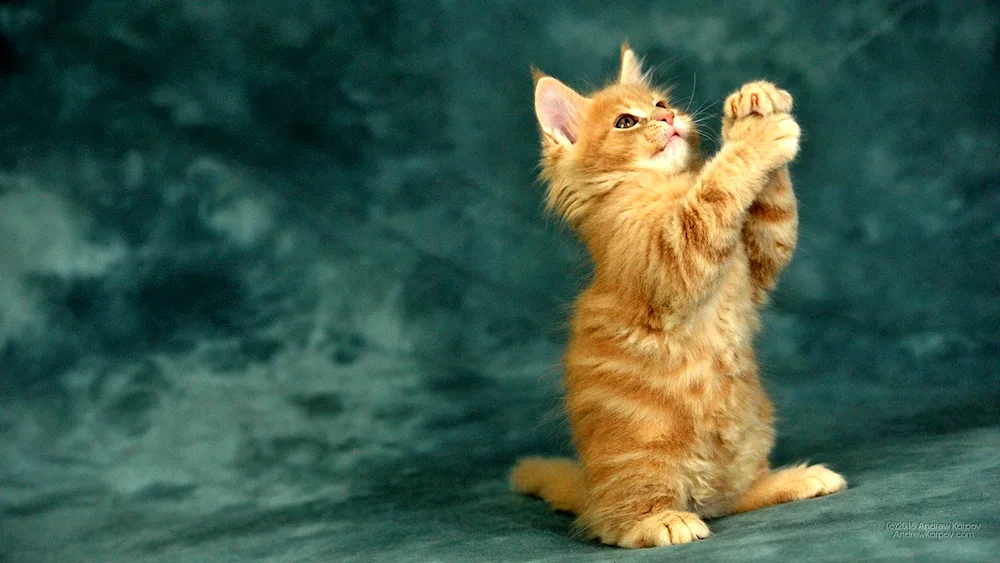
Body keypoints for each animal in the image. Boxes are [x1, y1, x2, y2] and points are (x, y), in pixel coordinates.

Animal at [512, 46, 848, 548]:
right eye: (626, 122)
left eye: (660, 102)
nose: (669, 116)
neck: (663, 188)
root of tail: (591, 493)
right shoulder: (667, 257)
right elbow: (716, 190)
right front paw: (754, 139)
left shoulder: (757, 262)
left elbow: (775, 217)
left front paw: (753, 102)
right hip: (644, 453)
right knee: (619, 525)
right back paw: (663, 521)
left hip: (753, 431)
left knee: (733, 499)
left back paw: (795, 479)